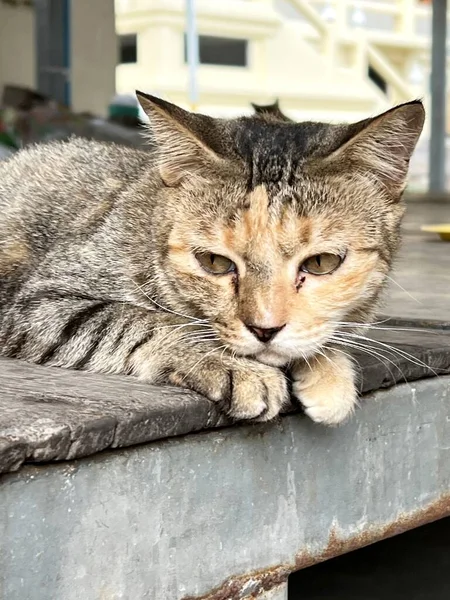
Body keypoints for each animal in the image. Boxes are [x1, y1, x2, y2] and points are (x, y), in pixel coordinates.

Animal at [0, 92, 424, 422]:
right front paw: (235, 366)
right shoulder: (41, 302)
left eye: (321, 263)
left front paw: (330, 372)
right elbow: (140, 320)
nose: (265, 330)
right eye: (215, 263)